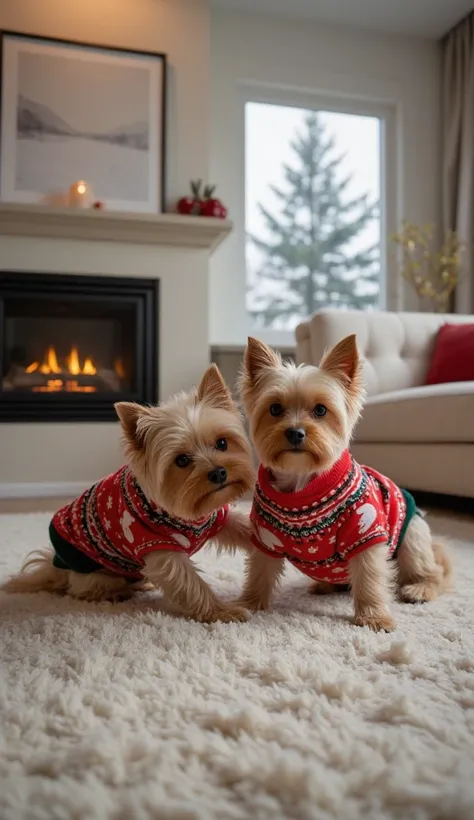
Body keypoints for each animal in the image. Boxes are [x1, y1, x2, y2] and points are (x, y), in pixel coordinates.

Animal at [2, 366, 256, 620]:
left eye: (222, 443)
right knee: (84, 589)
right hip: (95, 574)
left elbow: (245, 527)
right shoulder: (161, 551)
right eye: (182, 460)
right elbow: (192, 585)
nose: (218, 473)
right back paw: (118, 593)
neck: (184, 515)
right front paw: (223, 612)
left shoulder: (217, 519)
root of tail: (57, 566)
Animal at [237, 336, 452, 632]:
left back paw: (419, 589)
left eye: (320, 410)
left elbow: (370, 579)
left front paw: (374, 617)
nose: (295, 432)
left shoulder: (366, 534)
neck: (301, 483)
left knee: (432, 572)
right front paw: (248, 604)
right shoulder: (264, 538)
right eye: (275, 409)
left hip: (412, 536)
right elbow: (259, 573)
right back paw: (324, 585)